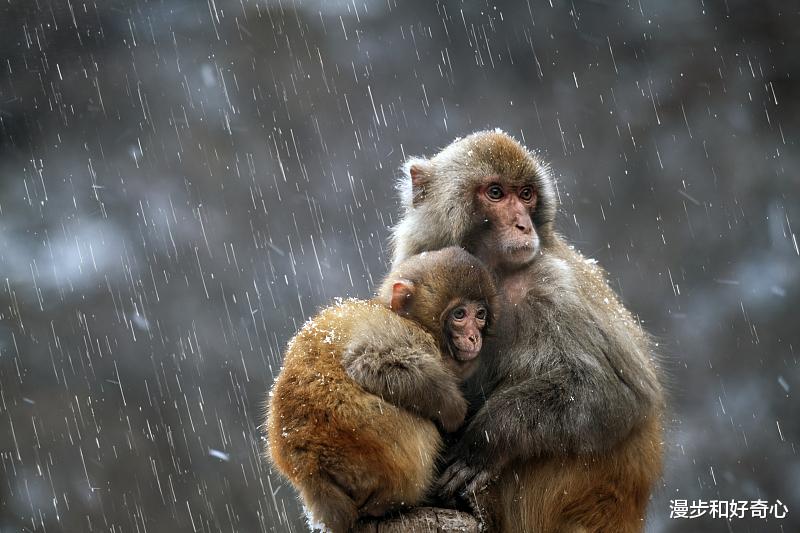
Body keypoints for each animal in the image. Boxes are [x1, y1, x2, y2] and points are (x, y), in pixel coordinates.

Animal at [266, 246, 496, 532]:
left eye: (480, 314)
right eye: (460, 314)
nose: (474, 337)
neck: (410, 319)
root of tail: (311, 469)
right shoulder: (405, 333)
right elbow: (369, 362)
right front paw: (454, 410)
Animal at [390, 130, 664, 532]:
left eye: (526, 194)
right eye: (495, 193)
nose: (523, 225)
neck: (491, 273)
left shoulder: (555, 287)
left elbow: (617, 393)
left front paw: (486, 440)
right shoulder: (419, 255)